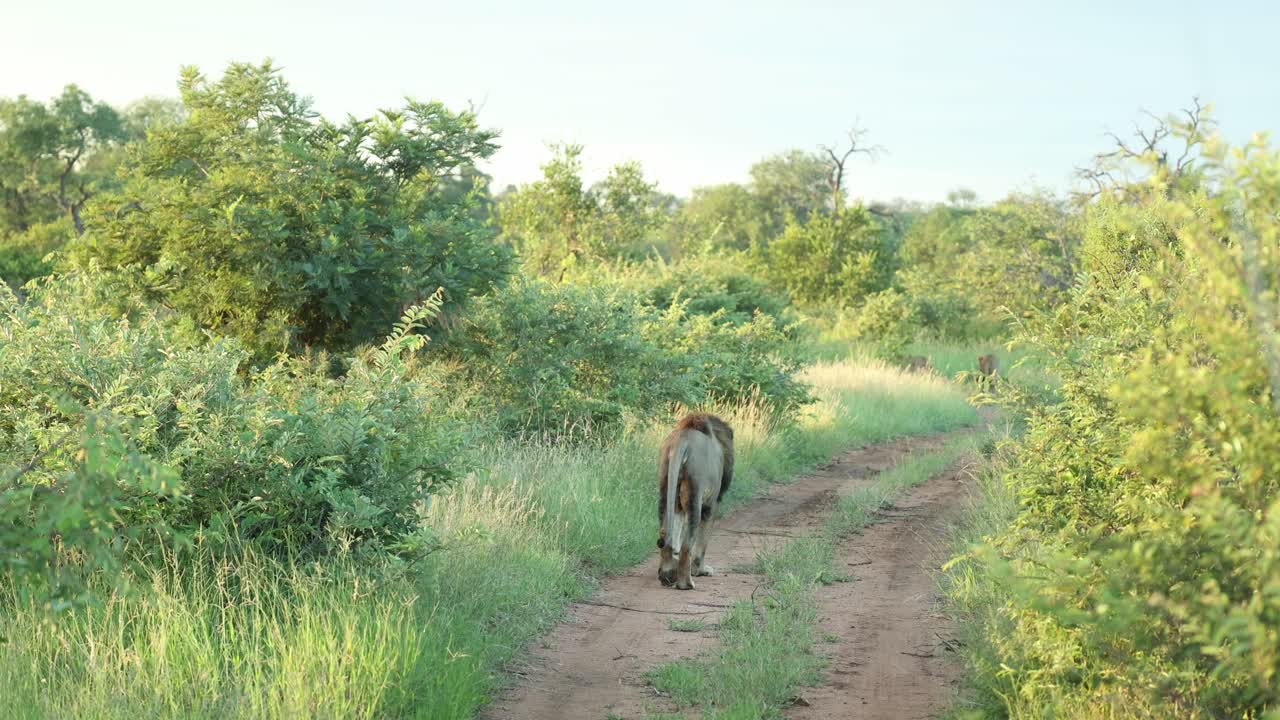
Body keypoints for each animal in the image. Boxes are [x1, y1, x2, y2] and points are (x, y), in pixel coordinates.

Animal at [656, 412, 734, 590]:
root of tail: (682, 441)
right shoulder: (711, 505)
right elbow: (702, 543)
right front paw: (701, 570)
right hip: (695, 494)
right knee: (687, 545)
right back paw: (686, 583)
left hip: (665, 487)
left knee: (666, 535)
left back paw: (667, 575)